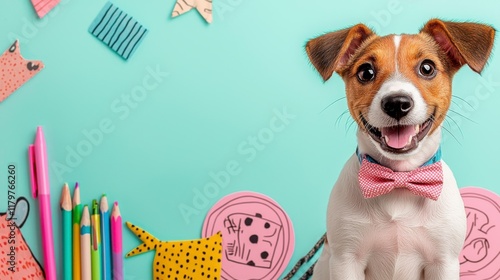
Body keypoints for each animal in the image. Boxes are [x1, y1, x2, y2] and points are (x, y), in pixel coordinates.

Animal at [306, 18, 494, 278]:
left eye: (427, 68)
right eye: (366, 72)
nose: (396, 103)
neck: (399, 179)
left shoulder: (443, 262)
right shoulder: (346, 260)